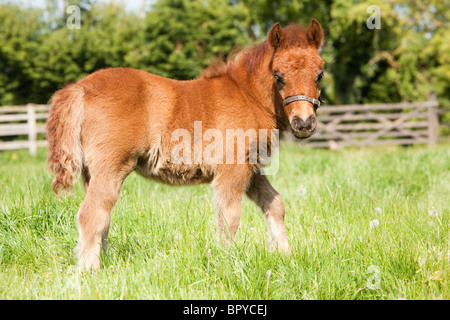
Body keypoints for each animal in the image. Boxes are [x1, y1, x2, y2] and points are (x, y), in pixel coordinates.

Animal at [46, 20, 324, 270]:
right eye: (278, 76)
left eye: (320, 74)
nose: (304, 123)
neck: (248, 96)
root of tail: (80, 88)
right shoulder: (233, 168)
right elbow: (229, 217)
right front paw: (229, 263)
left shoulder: (252, 169)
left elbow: (275, 205)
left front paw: (285, 256)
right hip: (111, 168)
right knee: (91, 215)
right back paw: (88, 272)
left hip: (91, 173)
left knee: (102, 218)